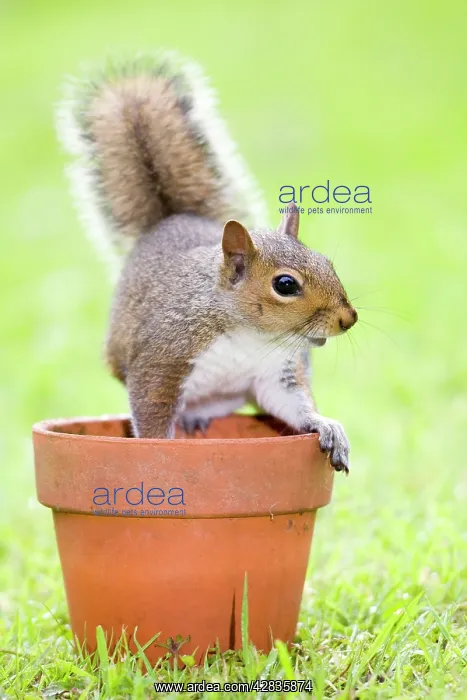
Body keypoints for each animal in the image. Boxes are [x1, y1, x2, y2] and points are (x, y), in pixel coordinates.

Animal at [57, 52, 358, 473]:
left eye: (327, 262)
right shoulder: (163, 356)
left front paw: (326, 426)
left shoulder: (275, 372)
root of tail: (172, 219)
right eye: (285, 285)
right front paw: (157, 451)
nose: (349, 318)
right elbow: (151, 408)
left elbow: (292, 404)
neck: (249, 335)